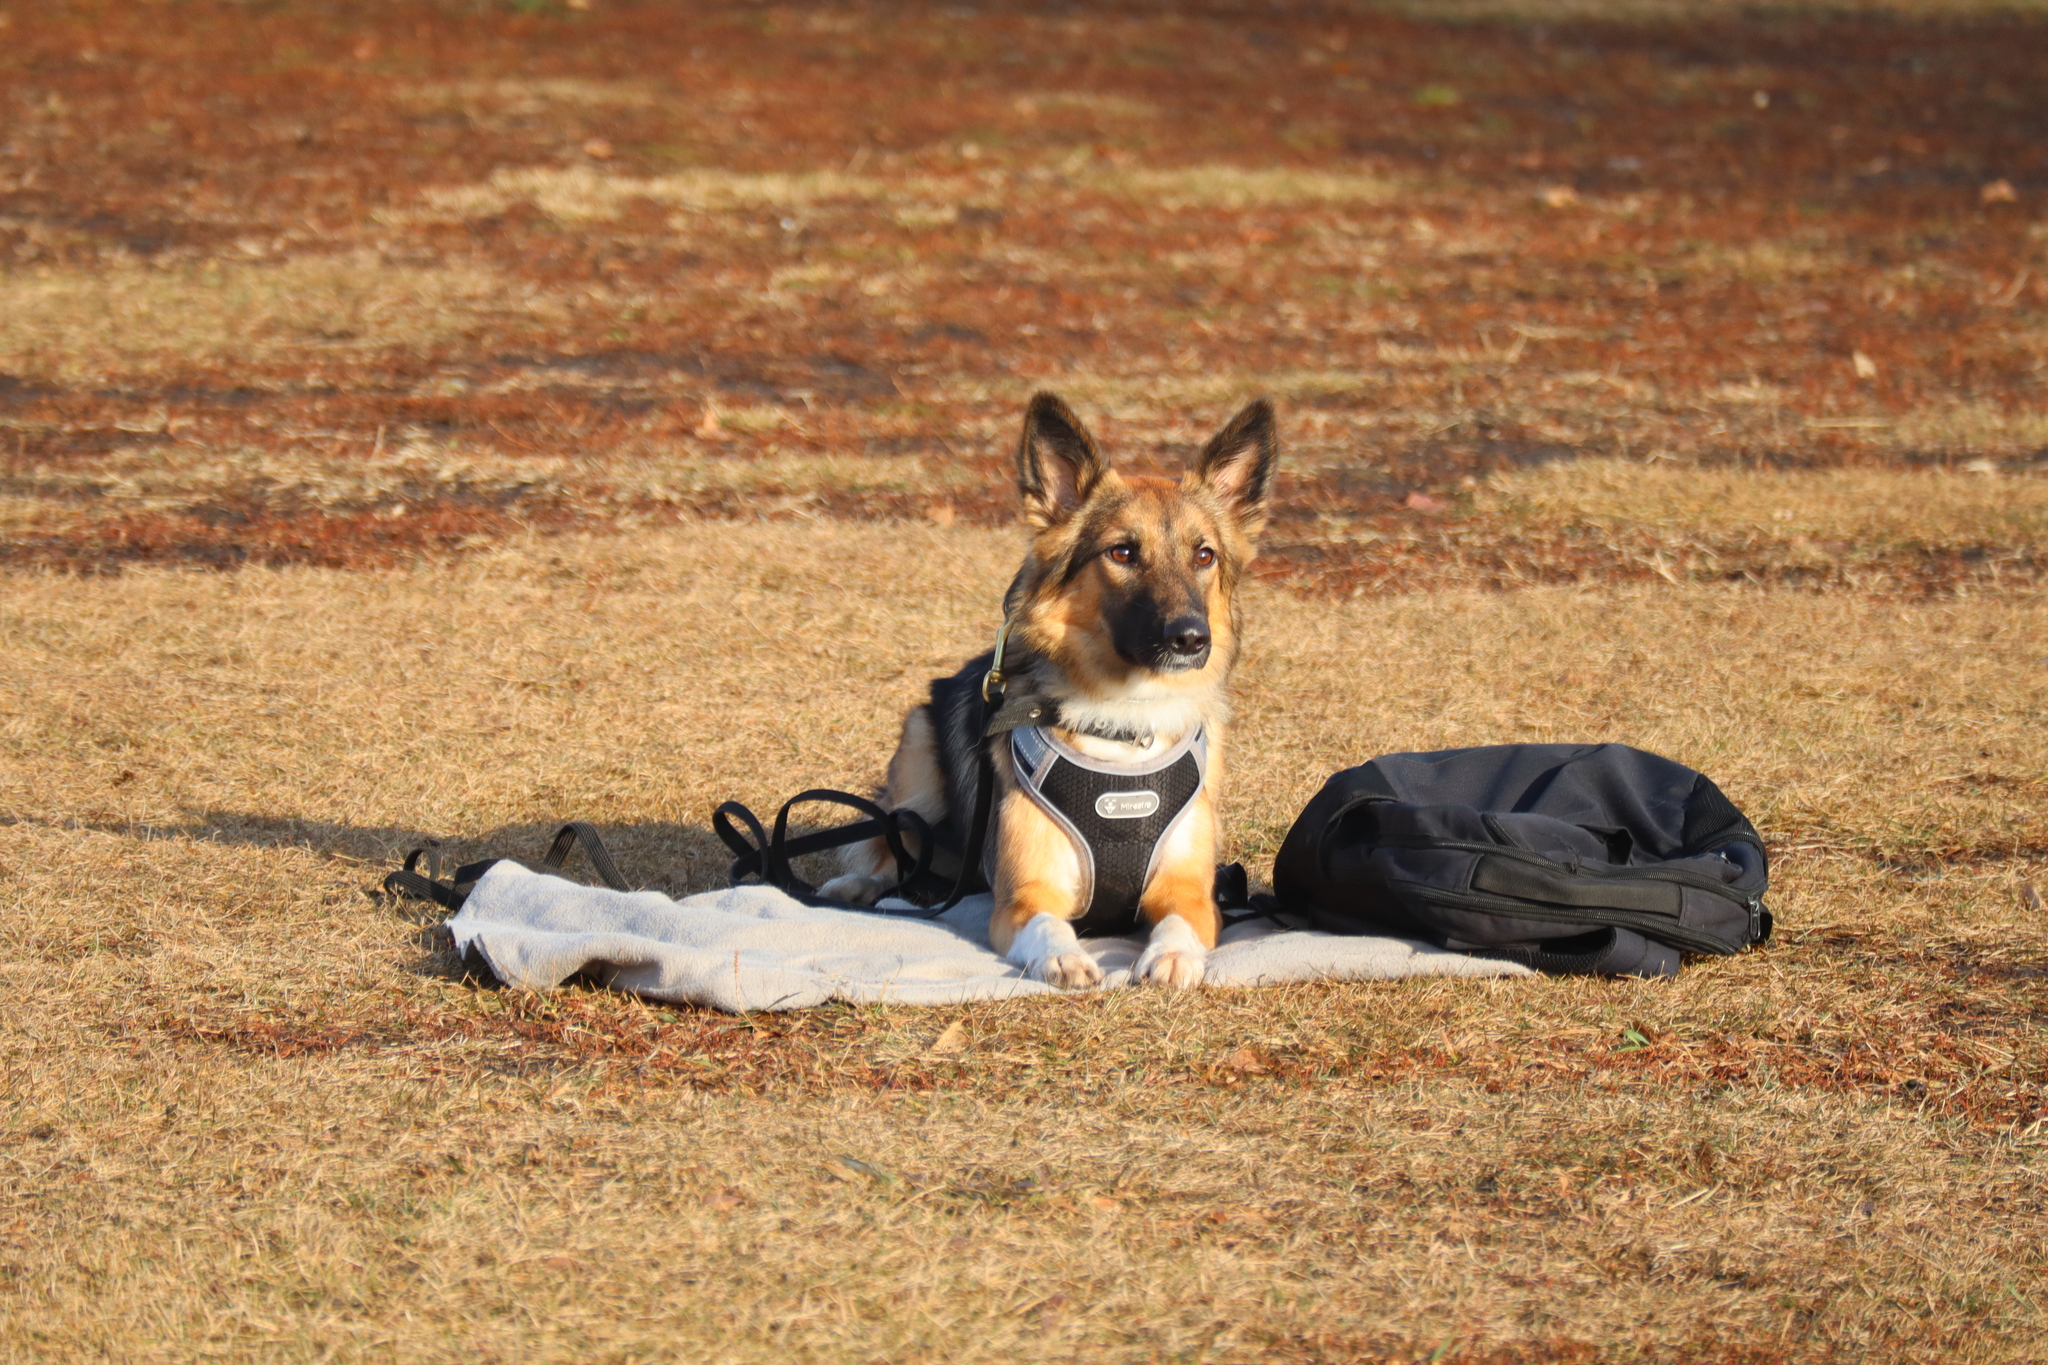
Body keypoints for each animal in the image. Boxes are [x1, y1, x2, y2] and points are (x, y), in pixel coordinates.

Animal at [819, 388, 1277, 986]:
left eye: (1205, 556)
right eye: (1122, 552)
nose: (1191, 639)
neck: (1123, 724)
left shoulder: (1193, 894)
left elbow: (1180, 922)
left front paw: (1173, 955)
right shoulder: (1023, 898)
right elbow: (1046, 925)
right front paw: (1064, 956)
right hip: (919, 766)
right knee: (889, 845)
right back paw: (854, 885)